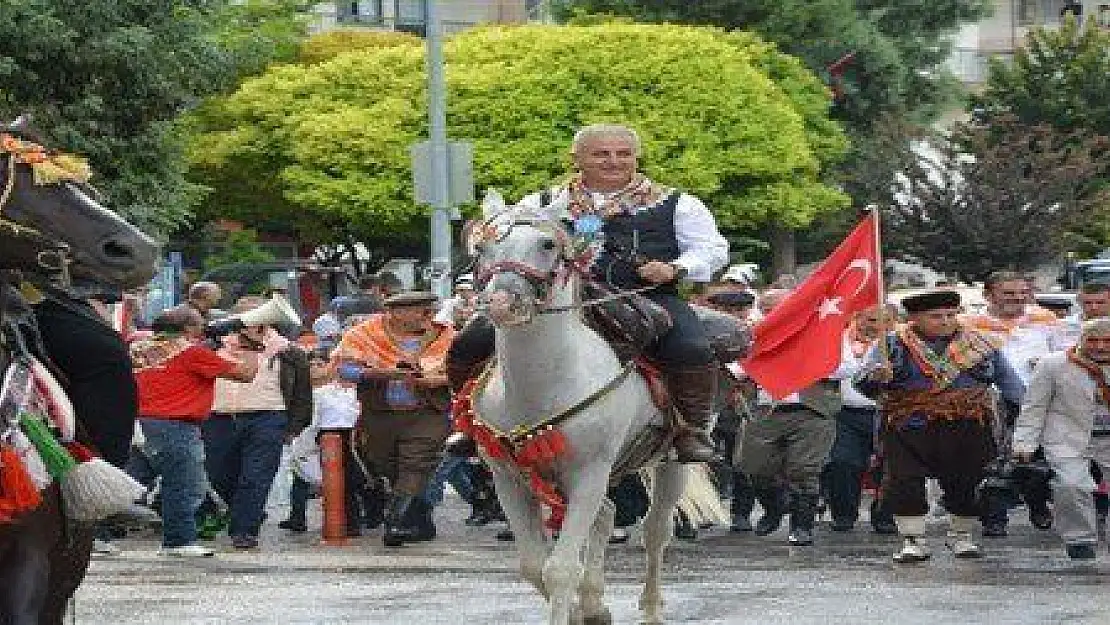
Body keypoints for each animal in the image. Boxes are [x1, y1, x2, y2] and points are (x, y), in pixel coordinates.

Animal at [466, 192, 692, 625]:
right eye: (482, 248)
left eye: (547, 244)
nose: (502, 303)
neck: (543, 385)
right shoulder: (508, 479)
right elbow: (534, 565)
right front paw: (578, 610)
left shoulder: (589, 472)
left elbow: (559, 568)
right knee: (606, 515)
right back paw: (594, 604)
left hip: (671, 459)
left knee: (656, 530)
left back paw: (650, 607)